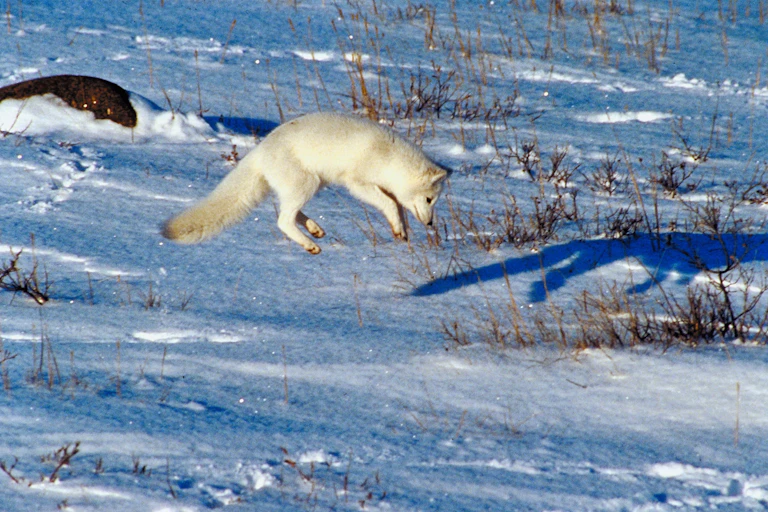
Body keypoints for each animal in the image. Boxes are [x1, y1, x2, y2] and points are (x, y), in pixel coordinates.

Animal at [162, 112, 450, 254]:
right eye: (429, 199)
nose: (430, 224)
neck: (389, 159)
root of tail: (260, 150)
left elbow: (397, 206)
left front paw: (401, 230)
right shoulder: (357, 183)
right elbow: (389, 203)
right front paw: (400, 227)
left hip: (310, 185)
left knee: (290, 212)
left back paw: (315, 229)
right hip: (307, 184)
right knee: (283, 220)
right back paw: (311, 244)